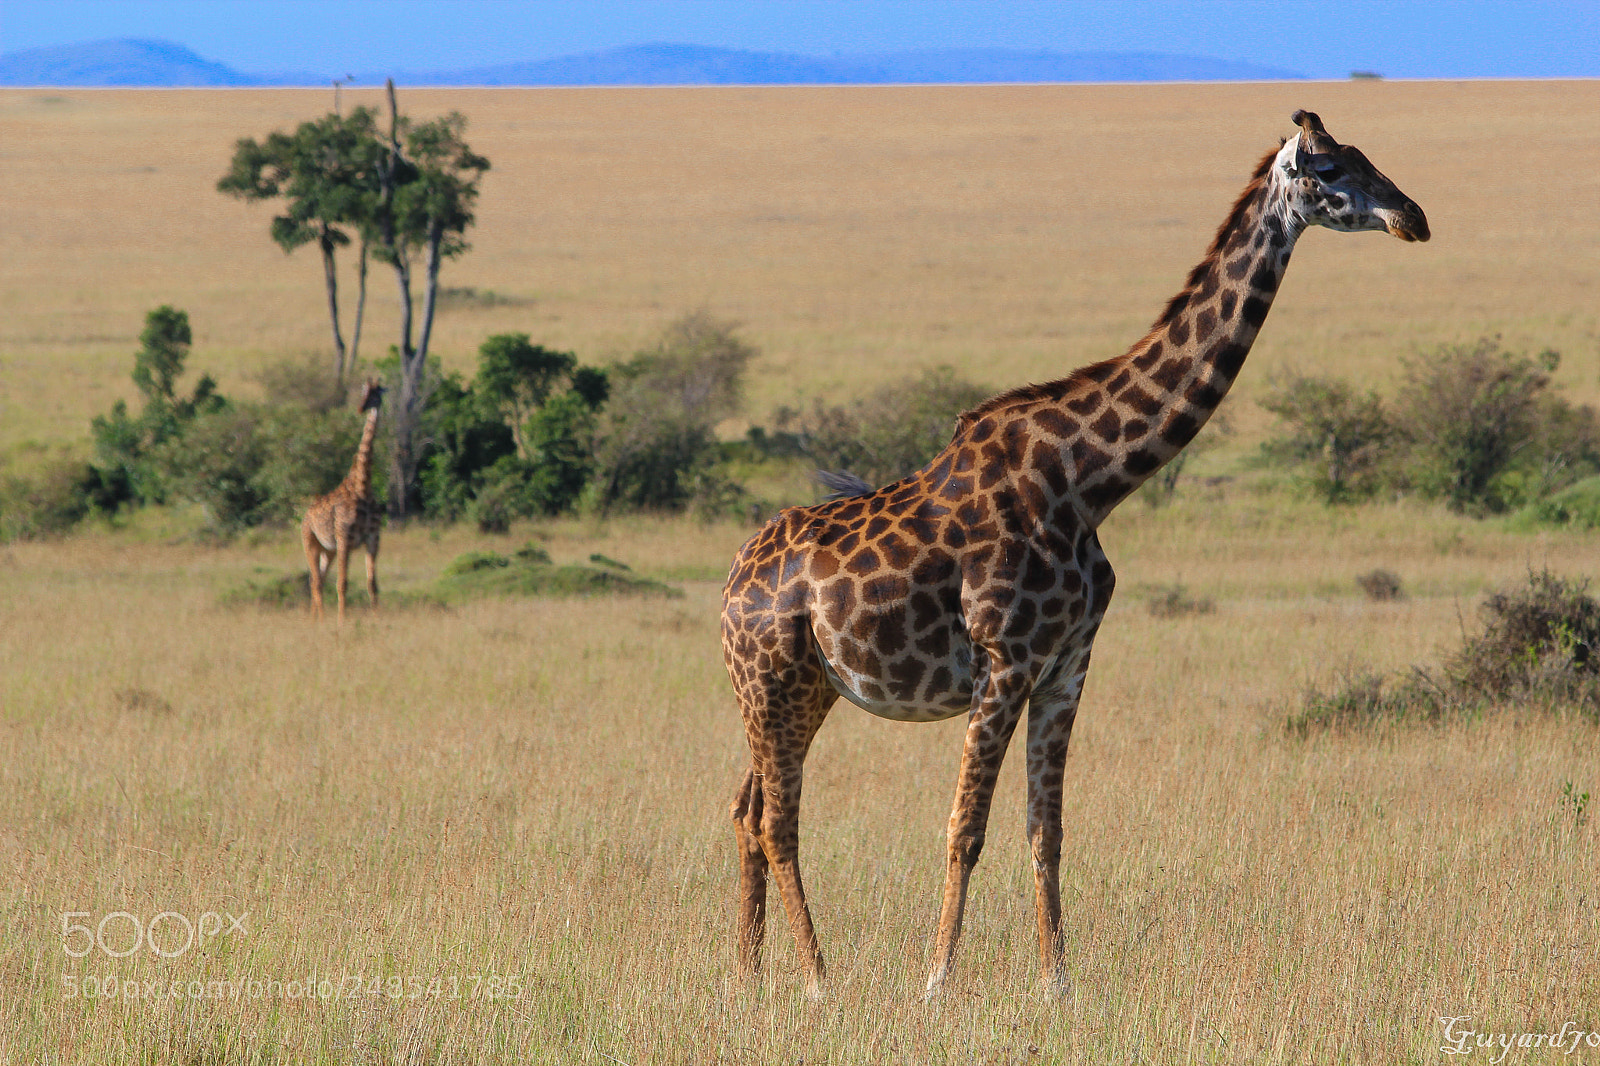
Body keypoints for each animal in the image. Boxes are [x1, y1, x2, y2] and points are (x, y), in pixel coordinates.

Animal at [302, 377, 385, 624]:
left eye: (377, 393)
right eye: (363, 391)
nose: (360, 408)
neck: (362, 487)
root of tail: (305, 516)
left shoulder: (373, 538)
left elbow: (372, 584)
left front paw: (378, 617)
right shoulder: (344, 537)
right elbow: (342, 583)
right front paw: (342, 619)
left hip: (328, 550)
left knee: (317, 579)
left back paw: (315, 617)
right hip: (310, 542)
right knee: (316, 581)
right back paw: (321, 618)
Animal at [721, 111, 1427, 999]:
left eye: (1369, 156)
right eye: (1330, 168)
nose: (1413, 216)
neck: (1089, 481)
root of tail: (731, 585)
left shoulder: (1069, 659)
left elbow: (1046, 827)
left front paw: (1057, 982)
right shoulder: (1006, 658)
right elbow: (966, 828)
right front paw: (937, 983)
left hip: (802, 690)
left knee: (746, 810)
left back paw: (747, 976)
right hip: (771, 682)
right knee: (779, 820)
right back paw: (818, 979)